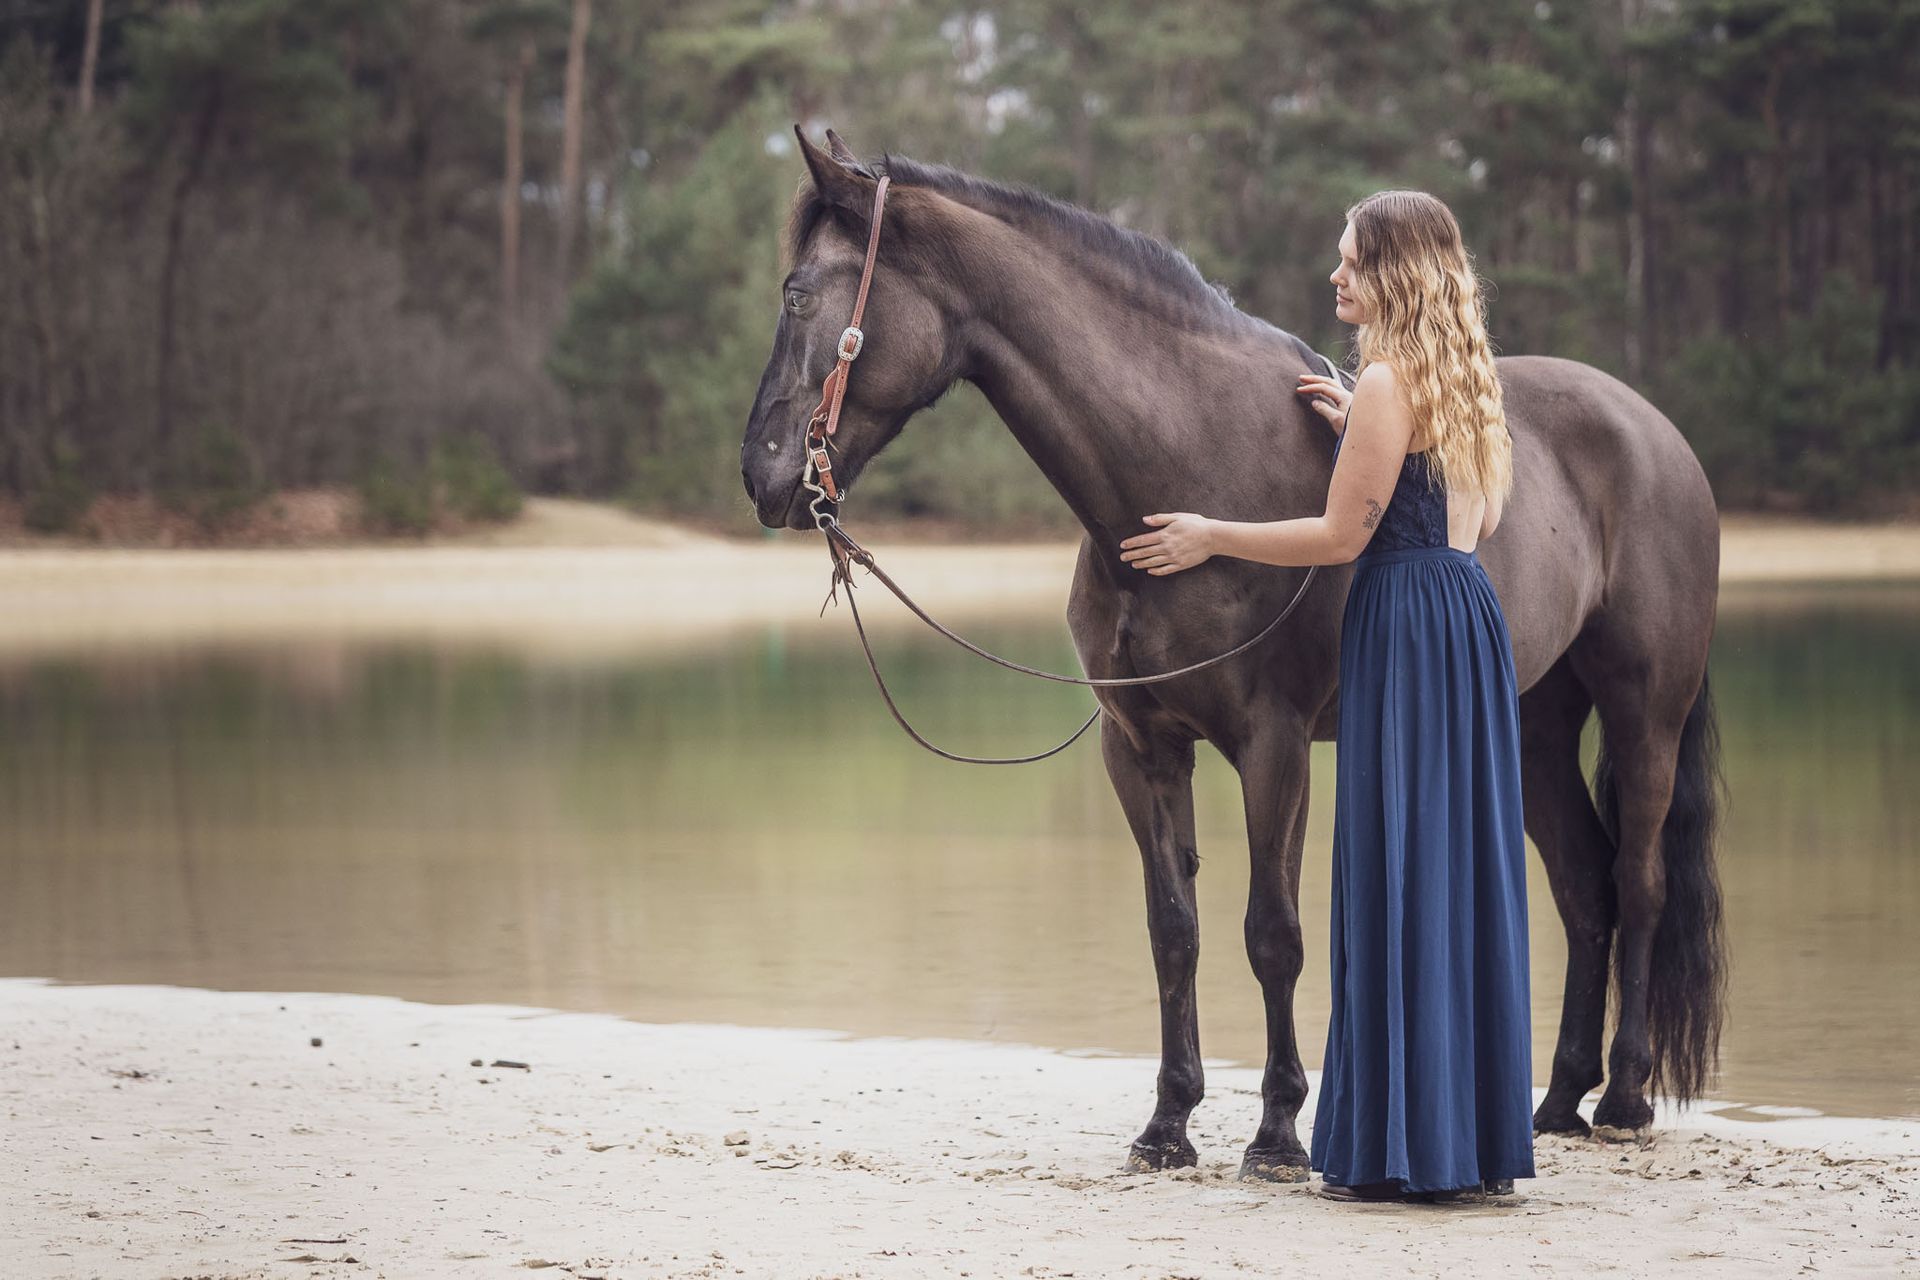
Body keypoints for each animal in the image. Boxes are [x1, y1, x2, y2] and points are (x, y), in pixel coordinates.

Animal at [740, 126, 1728, 1178]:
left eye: (798, 293)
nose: (761, 472)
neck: (1188, 461)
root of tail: (1654, 430)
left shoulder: (1274, 745)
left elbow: (1273, 933)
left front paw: (1279, 1133)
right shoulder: (1141, 747)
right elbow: (1174, 930)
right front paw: (1169, 1125)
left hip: (1645, 716)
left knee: (1639, 884)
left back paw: (1622, 1097)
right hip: (1536, 729)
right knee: (1586, 891)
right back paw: (1558, 1101)